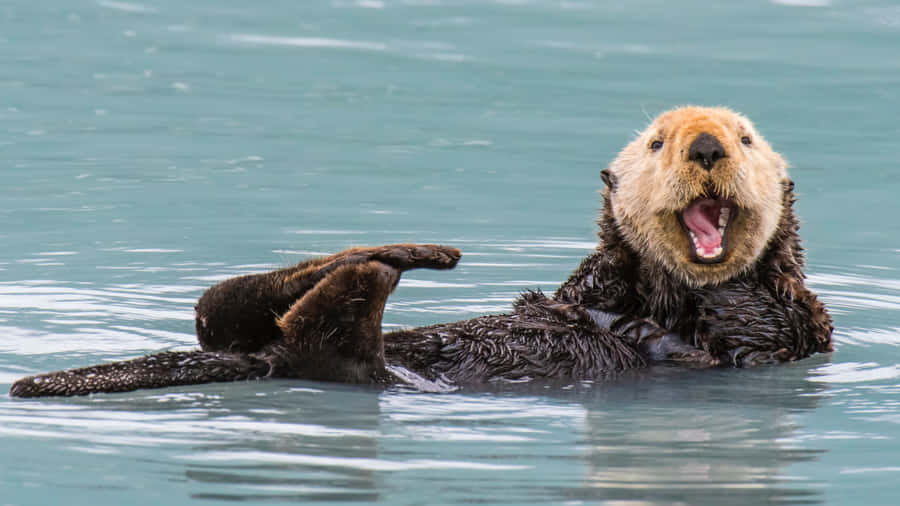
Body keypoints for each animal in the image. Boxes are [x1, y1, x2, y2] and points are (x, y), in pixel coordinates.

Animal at [9, 106, 833, 398]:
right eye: (658, 142)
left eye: (746, 139)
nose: (705, 146)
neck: (664, 293)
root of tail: (261, 359)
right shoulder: (589, 288)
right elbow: (576, 295)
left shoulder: (790, 328)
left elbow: (746, 323)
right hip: (253, 333)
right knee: (222, 309)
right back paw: (401, 253)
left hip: (353, 366)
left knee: (313, 339)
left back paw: (377, 269)